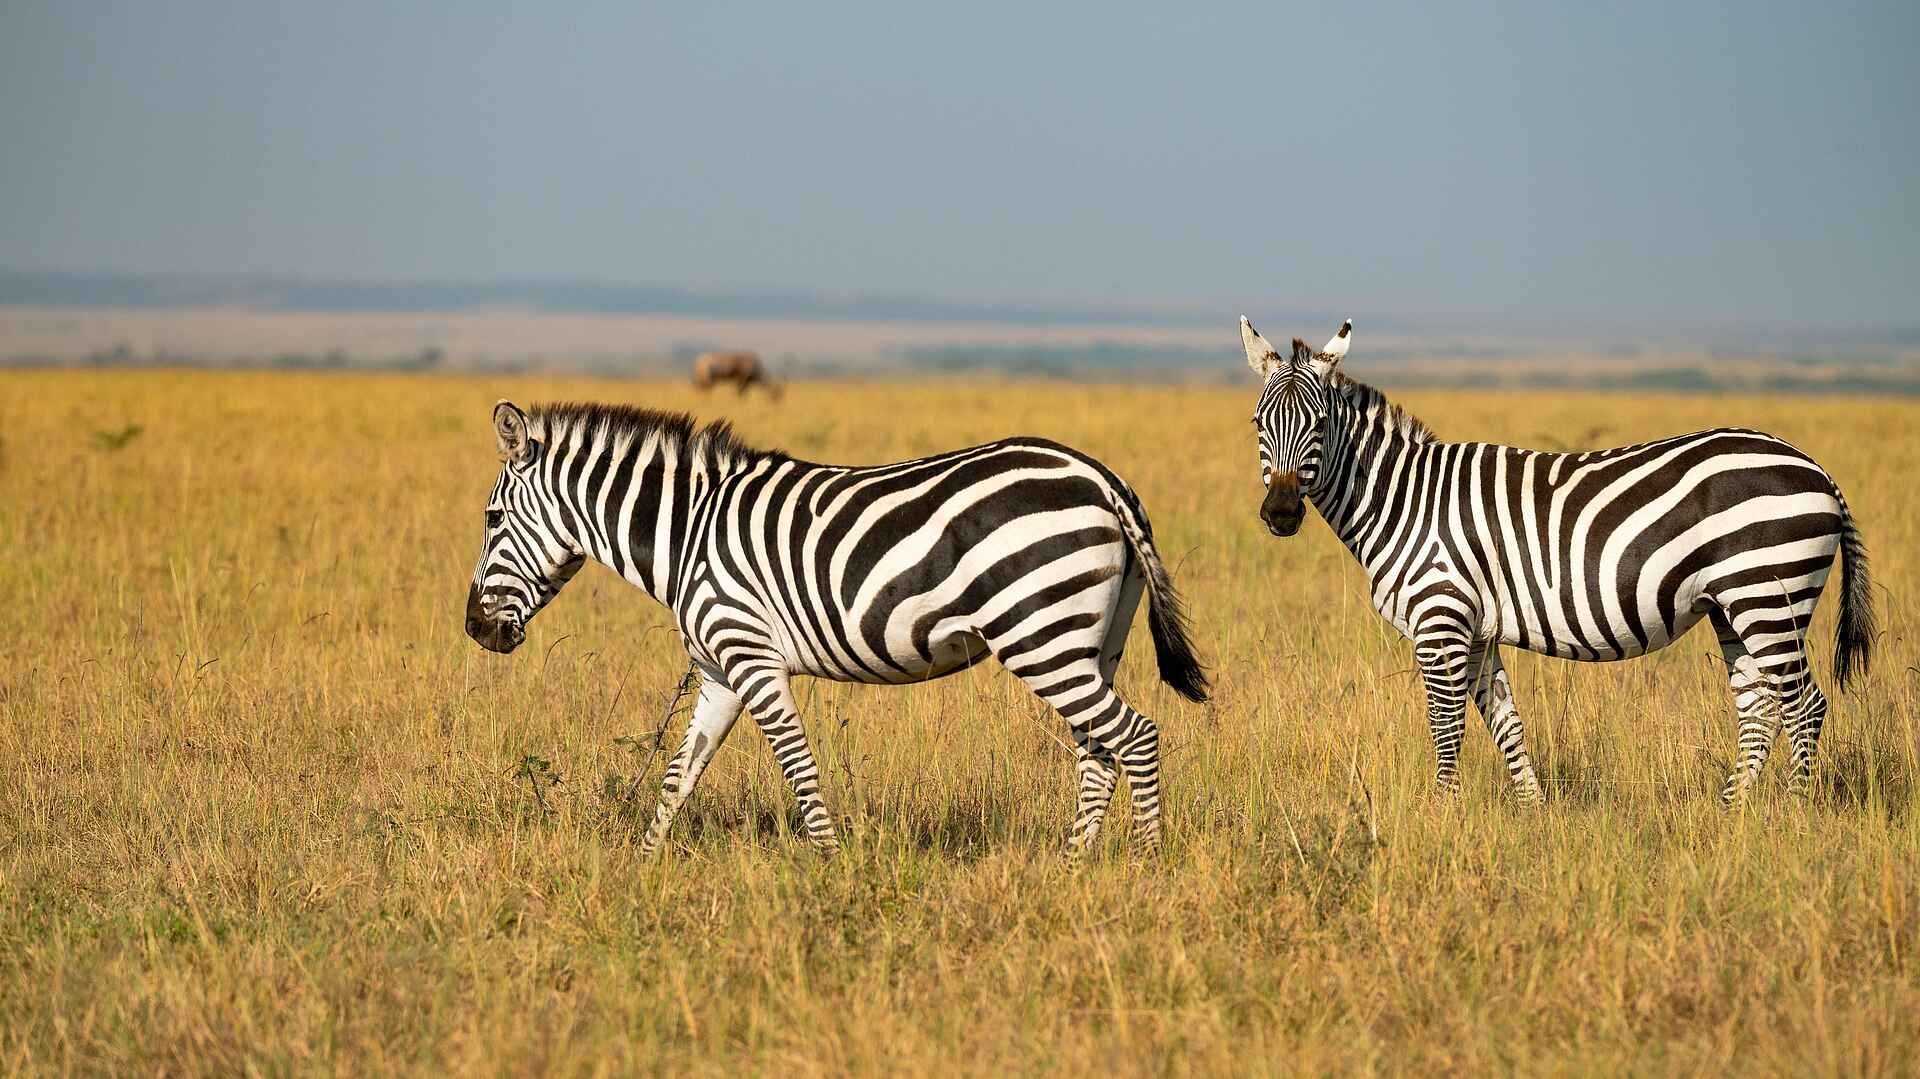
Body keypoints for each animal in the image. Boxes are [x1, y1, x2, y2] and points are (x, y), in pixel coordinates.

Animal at [464, 400, 1208, 857]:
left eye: (492, 518)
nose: (474, 629)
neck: (689, 531)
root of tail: (1102, 476)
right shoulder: (718, 670)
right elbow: (680, 774)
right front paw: (643, 868)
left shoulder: (751, 656)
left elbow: (796, 761)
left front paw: (826, 861)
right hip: (1090, 644)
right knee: (1099, 751)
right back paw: (1073, 865)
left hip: (1040, 635)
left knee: (1136, 737)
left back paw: (1145, 863)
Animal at [1239, 316, 1874, 804]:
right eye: (1258, 423)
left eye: (1321, 424)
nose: (1281, 513)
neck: (1403, 499)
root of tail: (1818, 469)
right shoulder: (1475, 630)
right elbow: (1505, 724)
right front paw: (1534, 812)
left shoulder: (1440, 620)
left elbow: (1446, 726)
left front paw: (1442, 814)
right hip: (1734, 606)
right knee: (1760, 708)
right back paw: (1732, 815)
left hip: (1767, 594)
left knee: (1804, 706)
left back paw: (1793, 814)